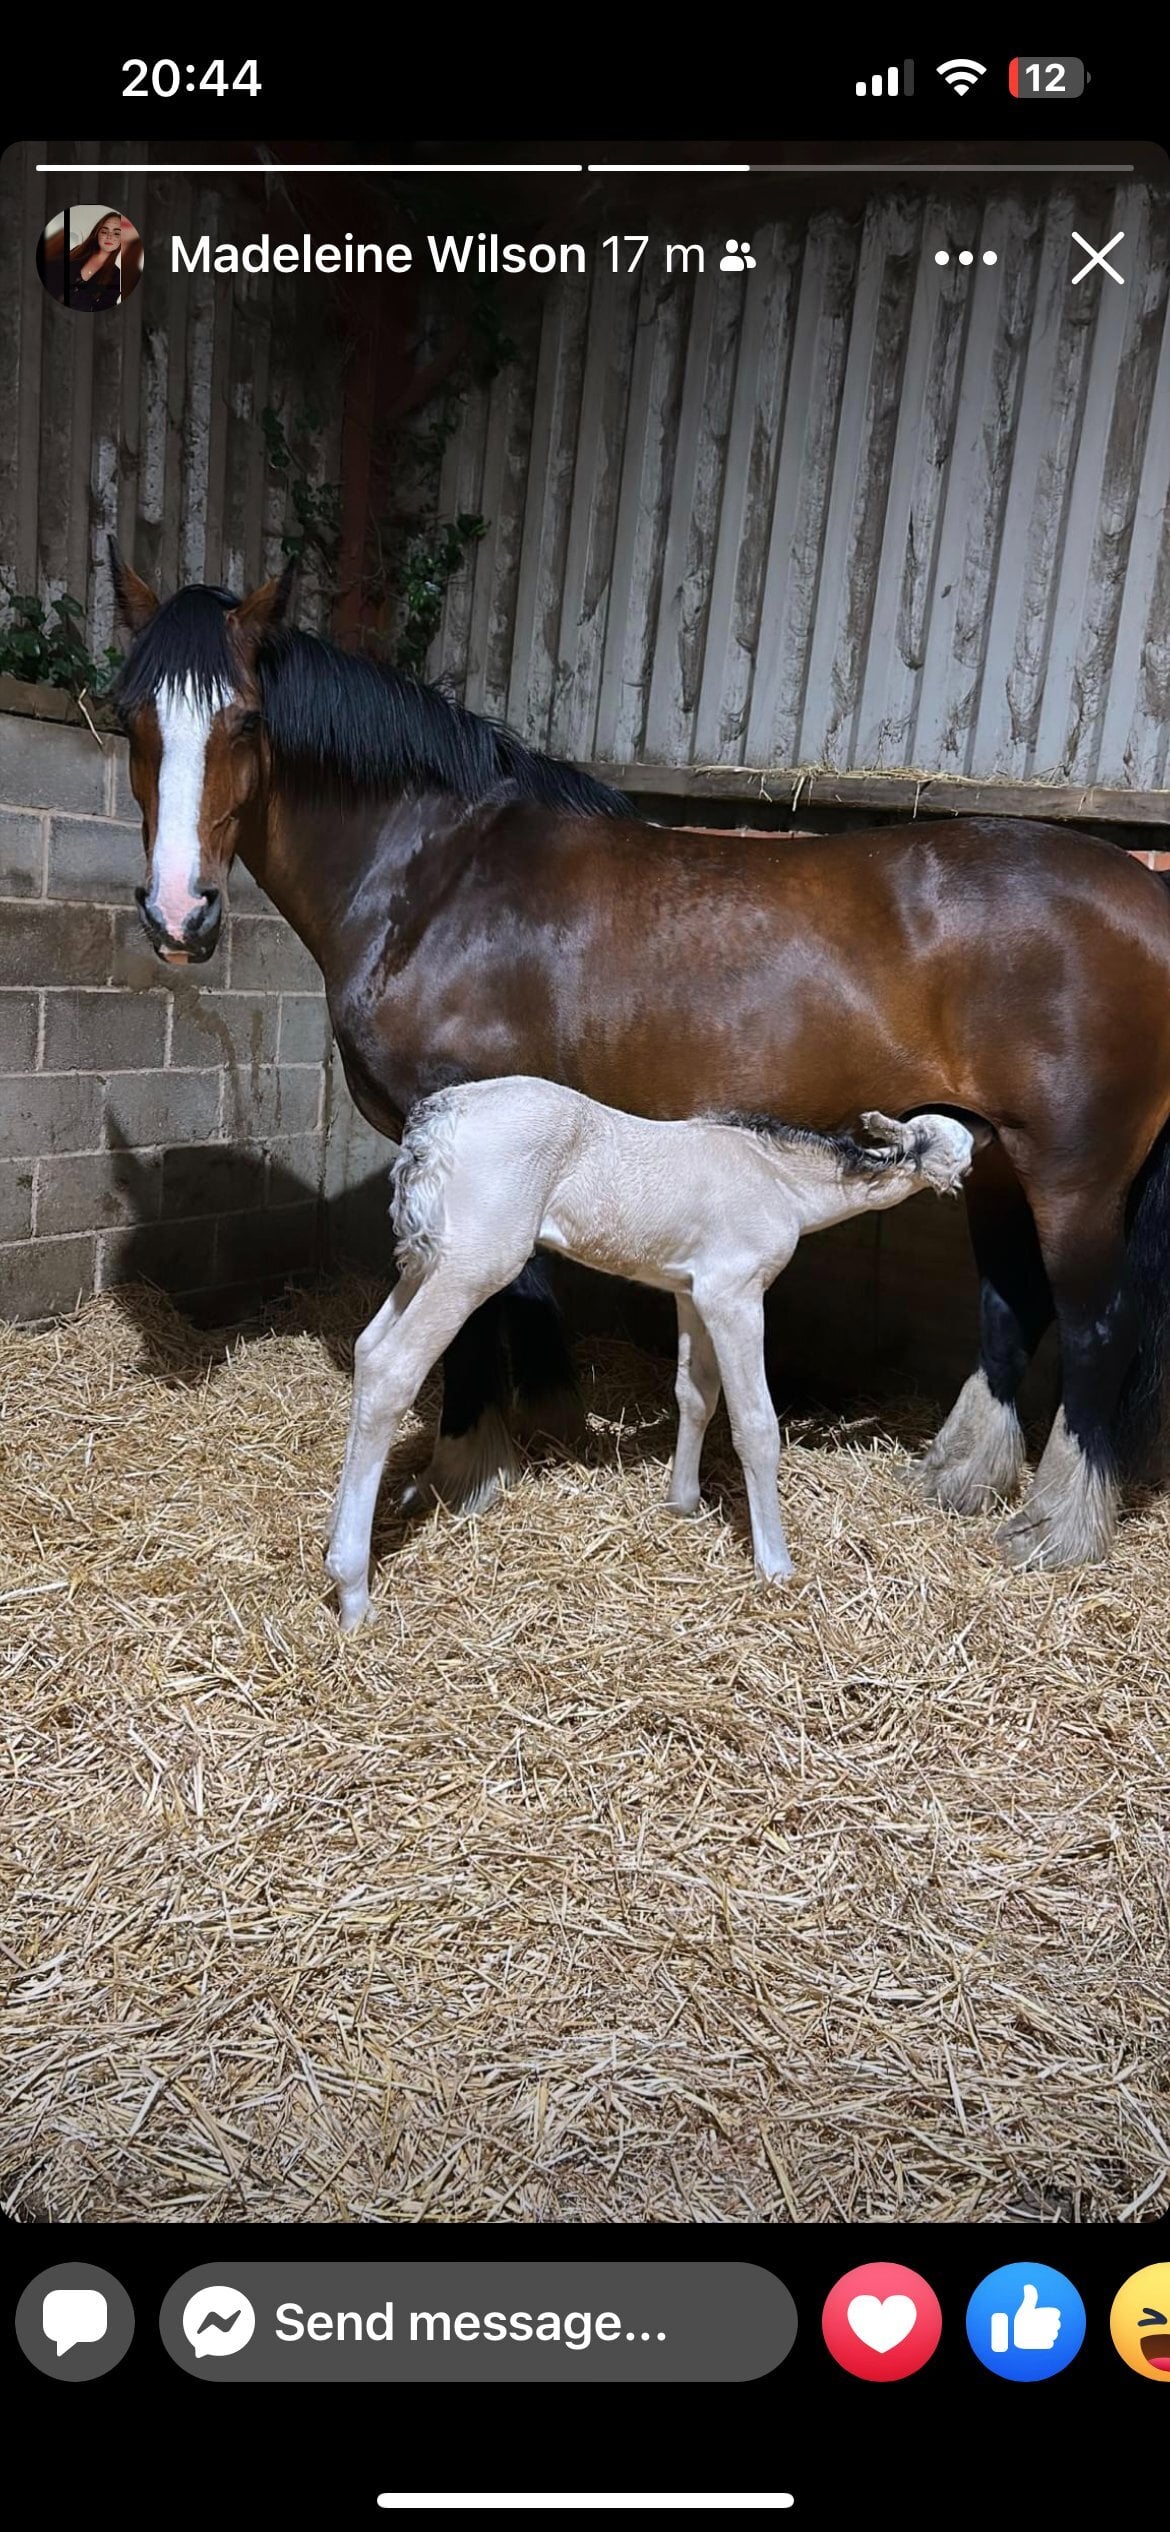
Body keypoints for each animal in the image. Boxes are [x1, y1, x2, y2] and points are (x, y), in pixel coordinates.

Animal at [109, 544, 1170, 1571]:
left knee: (1097, 1324)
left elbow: (478, 1318)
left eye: (247, 719)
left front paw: (464, 1468)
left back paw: (1056, 1526)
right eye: (130, 722)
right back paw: (962, 1476)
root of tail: (1143, 894)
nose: (178, 916)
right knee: (1012, 1303)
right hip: (990, 1155)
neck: (439, 879)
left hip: (1071, 1167)